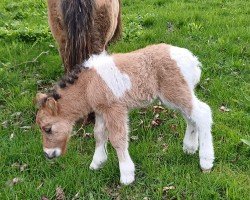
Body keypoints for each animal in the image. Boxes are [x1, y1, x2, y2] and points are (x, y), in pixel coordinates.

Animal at [36, 43, 214, 184]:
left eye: (47, 129)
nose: (48, 154)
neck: (88, 85)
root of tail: (192, 60)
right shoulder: (101, 111)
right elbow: (99, 134)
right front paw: (97, 163)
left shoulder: (115, 109)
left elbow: (117, 138)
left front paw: (127, 175)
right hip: (175, 96)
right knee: (191, 117)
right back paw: (189, 148)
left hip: (175, 92)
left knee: (203, 113)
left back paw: (206, 161)